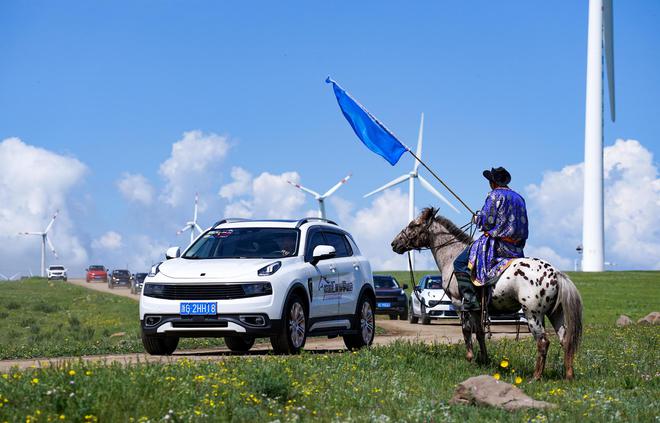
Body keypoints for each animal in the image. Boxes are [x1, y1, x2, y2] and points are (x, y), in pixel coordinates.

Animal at [392, 209, 584, 380]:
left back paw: (536, 377)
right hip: (555, 313)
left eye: (413, 225)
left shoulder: (460, 303)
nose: (394, 243)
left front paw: (470, 358)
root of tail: (556, 273)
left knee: (543, 342)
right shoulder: (477, 308)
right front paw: (484, 359)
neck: (452, 256)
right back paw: (569, 375)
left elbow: (466, 330)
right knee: (565, 340)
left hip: (533, 314)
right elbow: (479, 332)